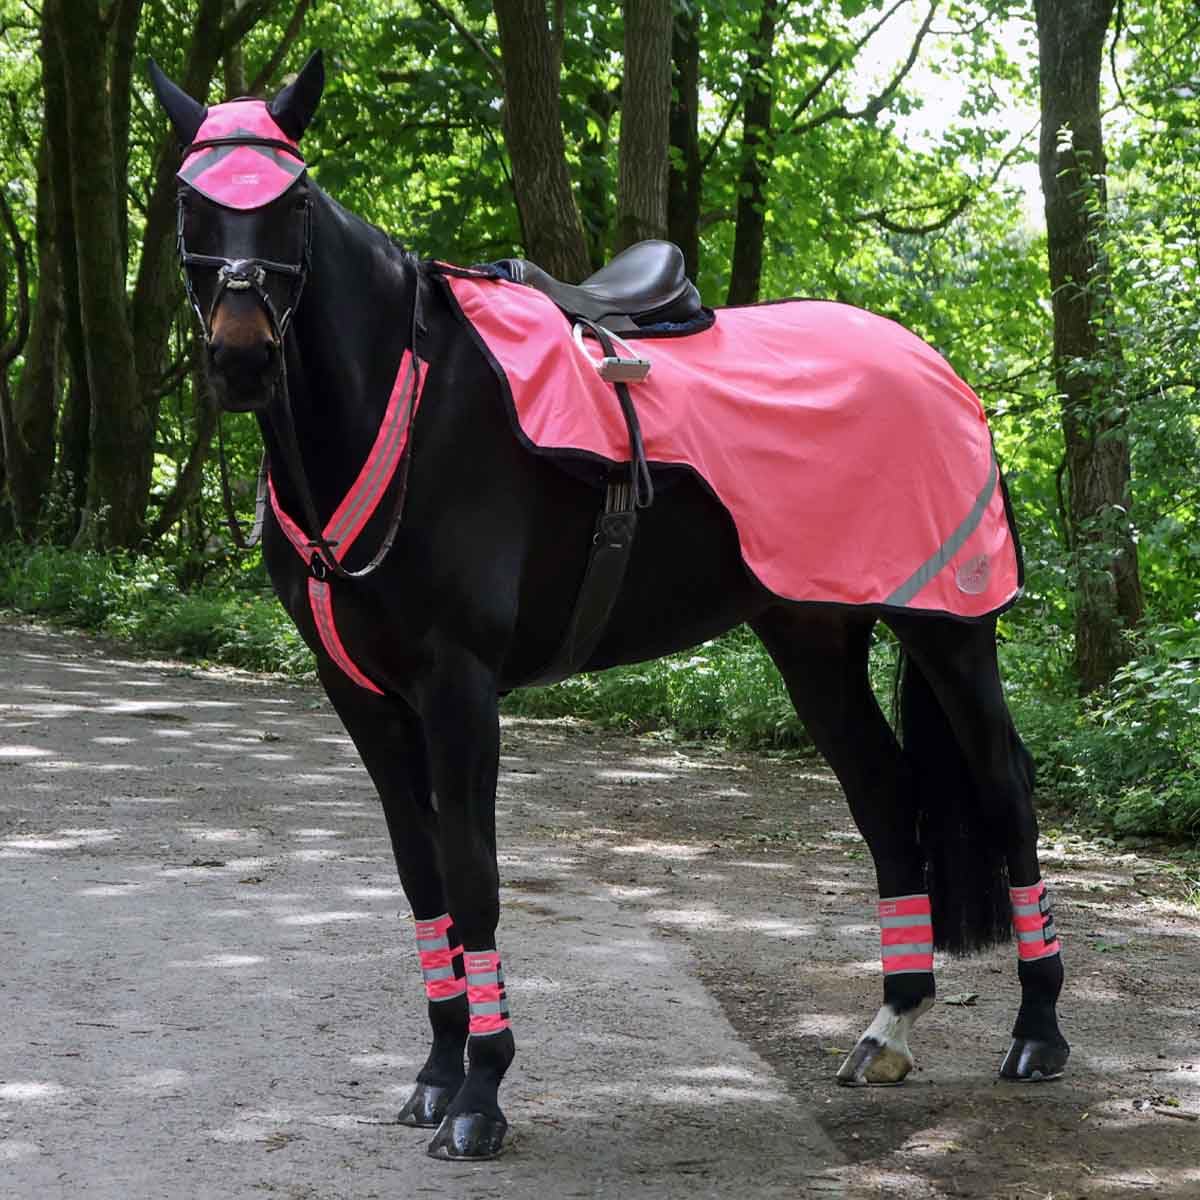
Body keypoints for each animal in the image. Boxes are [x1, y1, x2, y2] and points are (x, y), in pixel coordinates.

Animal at [149, 51, 1069, 1161]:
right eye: (190, 201)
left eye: (287, 204)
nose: (241, 355)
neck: (406, 406)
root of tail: (940, 370)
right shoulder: (359, 694)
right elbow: (421, 875)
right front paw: (437, 1073)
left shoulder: (458, 687)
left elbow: (473, 873)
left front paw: (481, 1093)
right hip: (811, 639)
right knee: (886, 796)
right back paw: (887, 1027)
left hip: (947, 628)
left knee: (1008, 788)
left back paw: (1038, 1032)